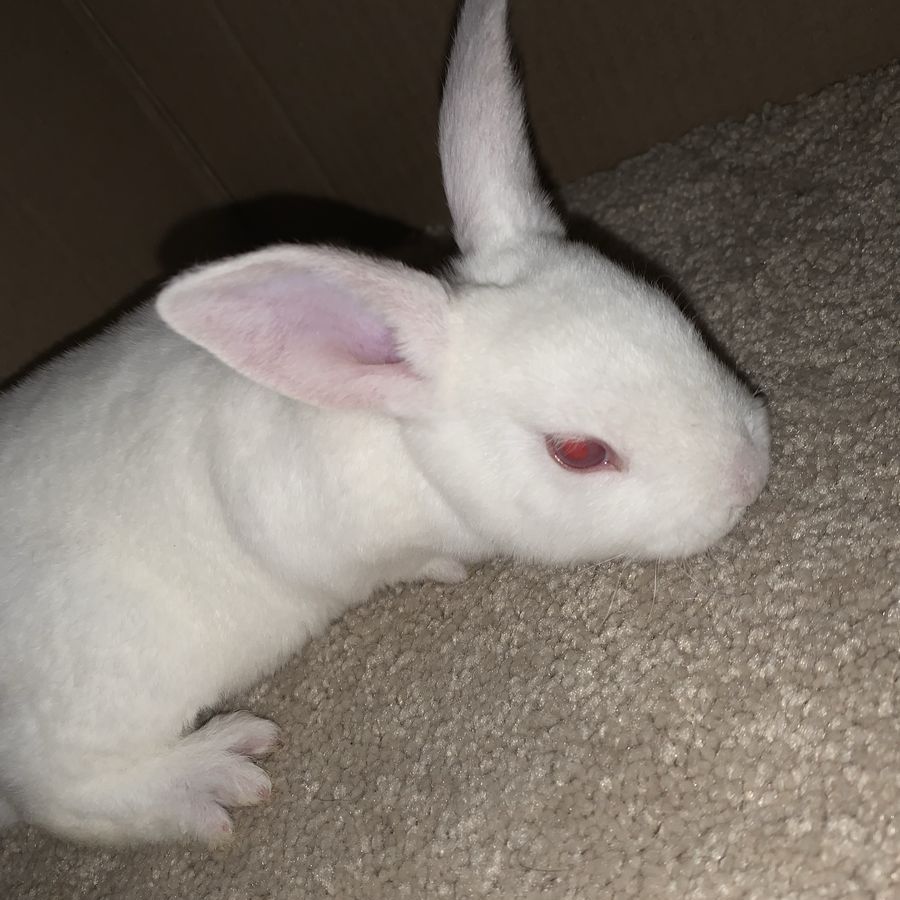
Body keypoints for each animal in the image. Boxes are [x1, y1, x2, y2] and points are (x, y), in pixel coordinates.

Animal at [0, 0, 769, 846]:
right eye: (579, 452)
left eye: (673, 311)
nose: (750, 474)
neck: (402, 441)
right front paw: (446, 570)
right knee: (65, 794)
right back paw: (213, 777)